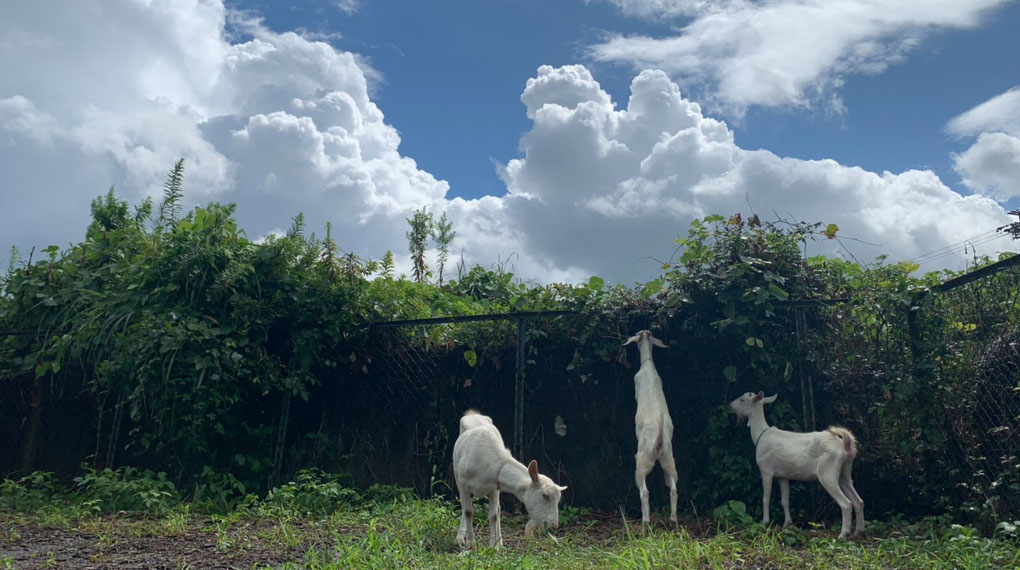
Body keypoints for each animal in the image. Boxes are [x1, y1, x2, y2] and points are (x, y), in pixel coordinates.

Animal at [452, 409, 567, 550]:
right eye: (545, 495)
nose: (554, 526)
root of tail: (473, 414)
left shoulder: (494, 487)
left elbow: (493, 515)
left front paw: (493, 546)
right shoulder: (464, 484)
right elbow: (468, 511)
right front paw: (470, 544)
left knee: (498, 510)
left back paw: (500, 541)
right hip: (457, 476)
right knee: (464, 508)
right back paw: (459, 539)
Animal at [620, 330, 677, 526]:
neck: (648, 366)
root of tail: (659, 436)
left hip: (643, 459)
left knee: (644, 491)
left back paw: (645, 522)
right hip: (668, 459)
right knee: (673, 488)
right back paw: (673, 519)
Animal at [730, 391, 864, 538]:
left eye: (742, 399)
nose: (731, 405)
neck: (761, 434)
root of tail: (846, 444)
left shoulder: (766, 470)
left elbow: (766, 498)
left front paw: (765, 522)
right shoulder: (782, 475)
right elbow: (785, 500)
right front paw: (787, 523)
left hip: (828, 472)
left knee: (846, 504)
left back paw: (843, 534)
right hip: (845, 471)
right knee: (859, 501)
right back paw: (858, 531)